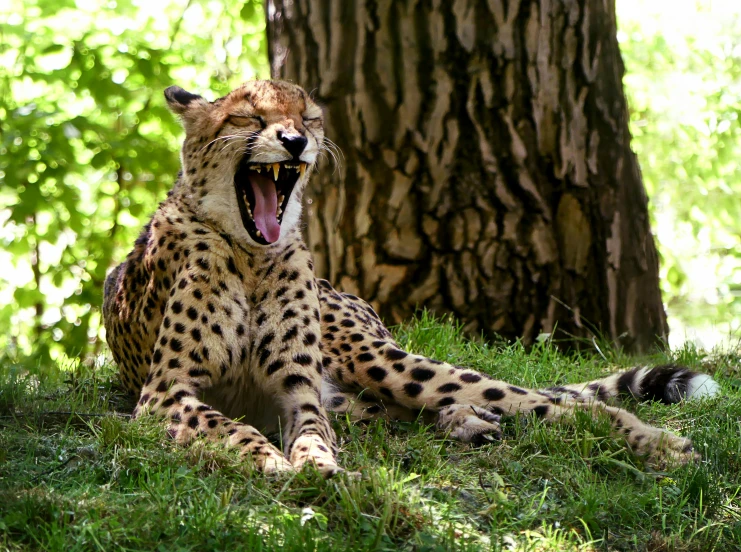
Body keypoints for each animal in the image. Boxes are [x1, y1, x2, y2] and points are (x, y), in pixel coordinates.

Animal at [102, 78, 716, 474]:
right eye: (250, 118)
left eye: (308, 119)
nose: (296, 141)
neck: (251, 254)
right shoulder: (166, 392)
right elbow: (232, 426)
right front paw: (274, 463)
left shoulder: (299, 388)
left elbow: (310, 435)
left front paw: (315, 465)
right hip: (355, 392)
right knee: (405, 409)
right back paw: (468, 423)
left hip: (376, 359)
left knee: (550, 402)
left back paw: (655, 443)